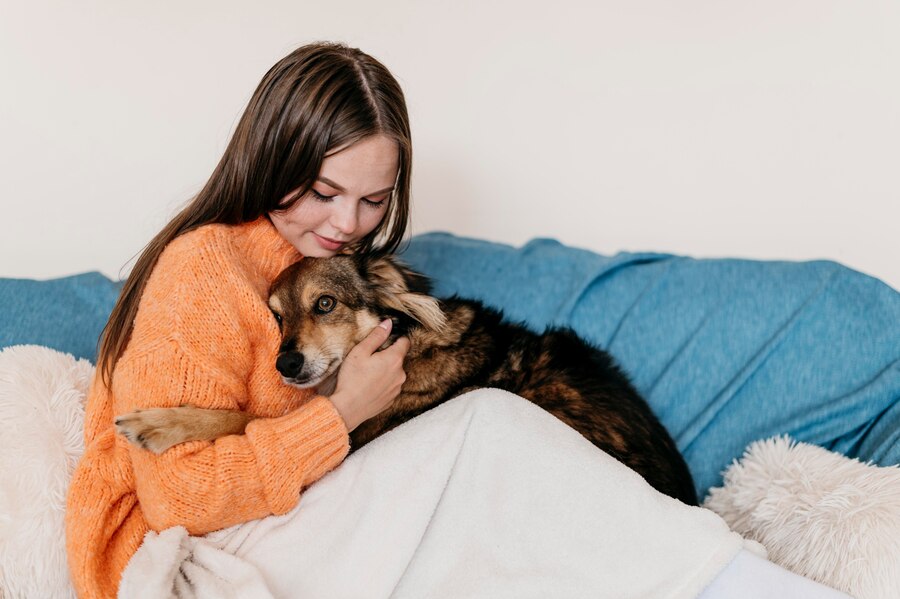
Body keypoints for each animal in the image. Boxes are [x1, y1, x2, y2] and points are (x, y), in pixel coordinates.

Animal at [116, 254, 700, 506]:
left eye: (324, 304)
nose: (286, 364)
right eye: (277, 318)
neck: (402, 340)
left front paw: (157, 424)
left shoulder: (350, 443)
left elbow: (242, 418)